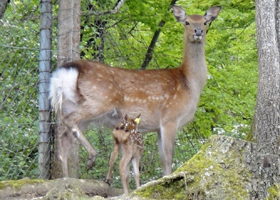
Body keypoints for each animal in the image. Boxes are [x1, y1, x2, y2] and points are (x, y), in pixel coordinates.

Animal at [49, 4, 221, 177]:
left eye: (205, 22)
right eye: (187, 22)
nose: (198, 31)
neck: (190, 83)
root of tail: (63, 73)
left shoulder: (158, 127)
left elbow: (162, 158)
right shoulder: (170, 117)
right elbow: (168, 158)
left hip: (73, 106)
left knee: (64, 139)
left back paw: (66, 177)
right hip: (100, 100)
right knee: (69, 121)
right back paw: (91, 157)